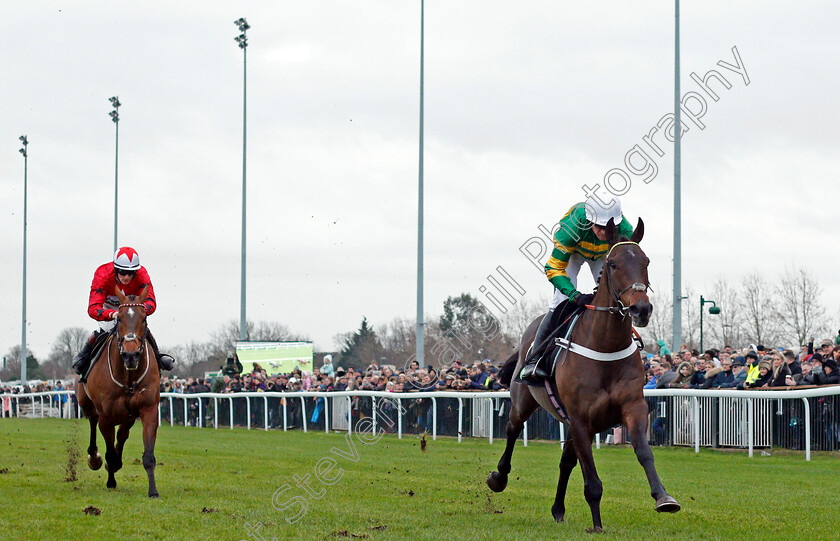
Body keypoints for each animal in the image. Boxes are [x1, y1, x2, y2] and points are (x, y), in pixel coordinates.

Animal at [76, 284, 162, 496]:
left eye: (144, 318)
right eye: (120, 318)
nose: (131, 355)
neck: (128, 375)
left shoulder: (149, 409)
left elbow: (148, 455)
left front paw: (153, 491)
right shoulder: (106, 416)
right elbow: (109, 452)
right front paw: (110, 476)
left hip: (128, 415)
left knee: (122, 434)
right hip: (87, 403)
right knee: (92, 421)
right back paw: (94, 458)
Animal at [488, 218, 680, 532]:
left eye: (646, 261)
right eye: (613, 264)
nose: (641, 308)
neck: (605, 345)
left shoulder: (632, 407)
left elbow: (643, 452)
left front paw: (663, 497)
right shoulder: (580, 419)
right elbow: (591, 478)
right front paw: (597, 524)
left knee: (565, 463)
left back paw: (557, 510)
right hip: (523, 401)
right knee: (512, 429)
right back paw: (498, 478)